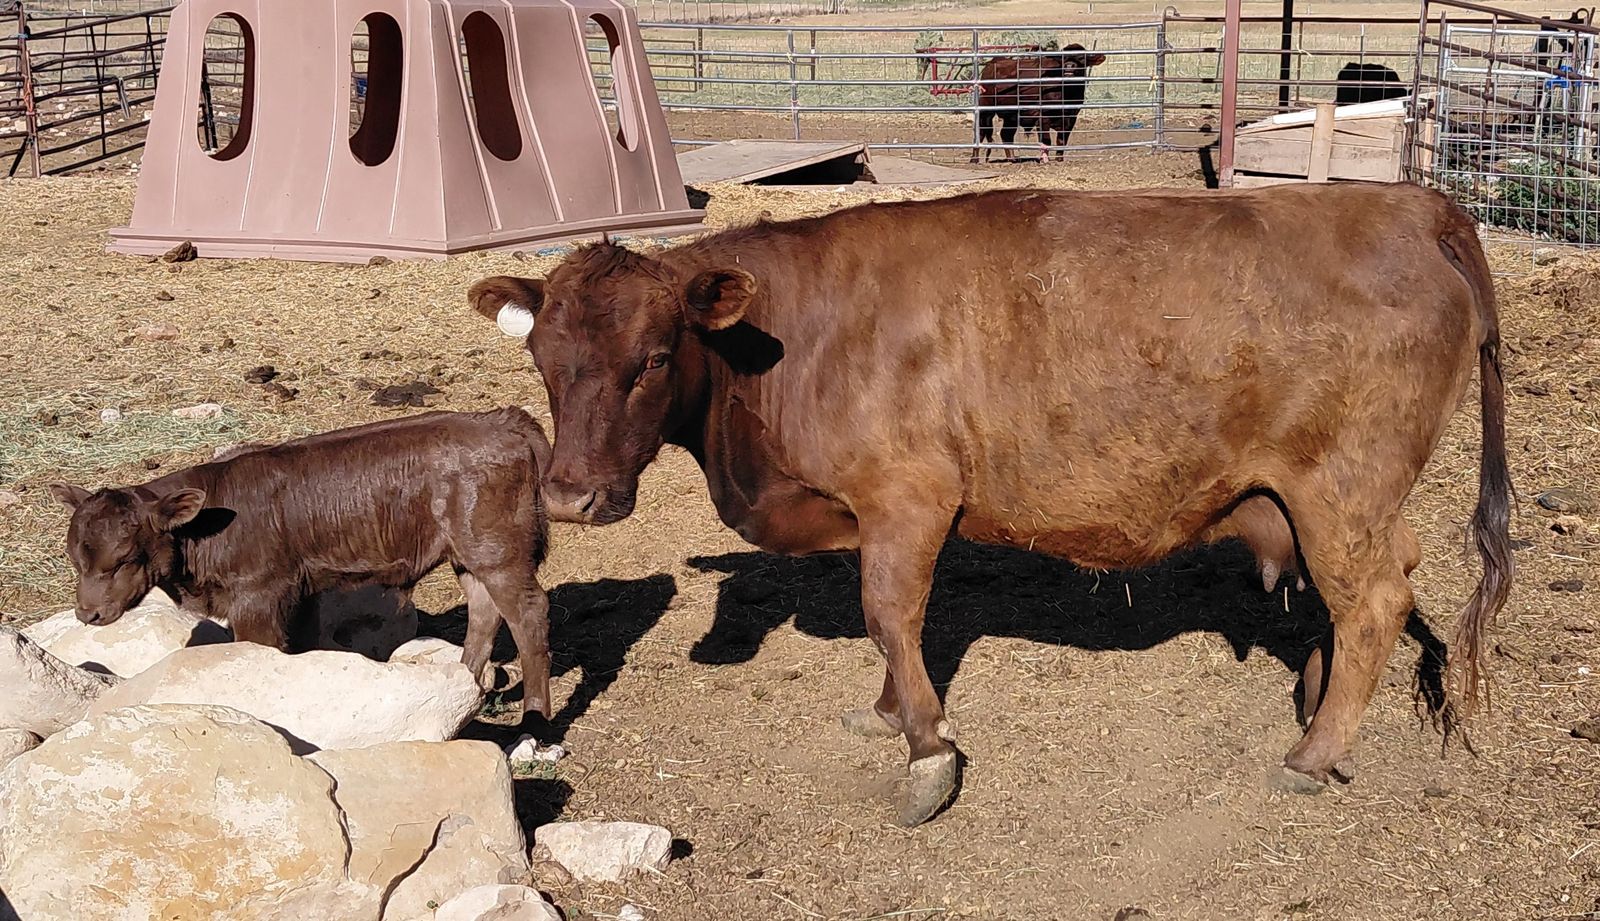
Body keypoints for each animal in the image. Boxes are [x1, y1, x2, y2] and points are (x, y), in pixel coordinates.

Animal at [49, 408, 559, 720]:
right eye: (75, 558)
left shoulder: (258, 594)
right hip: (469, 556)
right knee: (484, 613)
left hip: (498, 551)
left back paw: (535, 718)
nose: (88, 613)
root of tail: (501, 420)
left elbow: (257, 651)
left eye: (122, 559)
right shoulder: (302, 590)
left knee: (528, 613)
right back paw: (468, 684)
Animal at [467, 183, 1511, 826]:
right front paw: (890, 711)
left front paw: (927, 749)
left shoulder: (909, 495)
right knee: (1383, 582)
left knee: (1373, 600)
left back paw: (1311, 752)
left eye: (650, 358)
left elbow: (890, 611)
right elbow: (889, 624)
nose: (570, 495)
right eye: (543, 359)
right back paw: (1314, 704)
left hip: (1340, 489)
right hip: (1340, 502)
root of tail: (1409, 204)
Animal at [971, 44, 1105, 163]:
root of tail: (992, 63)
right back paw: (974, 159)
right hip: (985, 110)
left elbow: (1061, 141)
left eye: (1082, 57)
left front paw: (1059, 159)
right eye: (1063, 58)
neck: (1066, 92)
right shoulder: (1042, 117)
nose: (1069, 66)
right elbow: (1046, 141)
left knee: (1006, 134)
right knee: (980, 133)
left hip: (1011, 116)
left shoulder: (1071, 117)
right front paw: (1044, 159)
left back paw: (1012, 159)